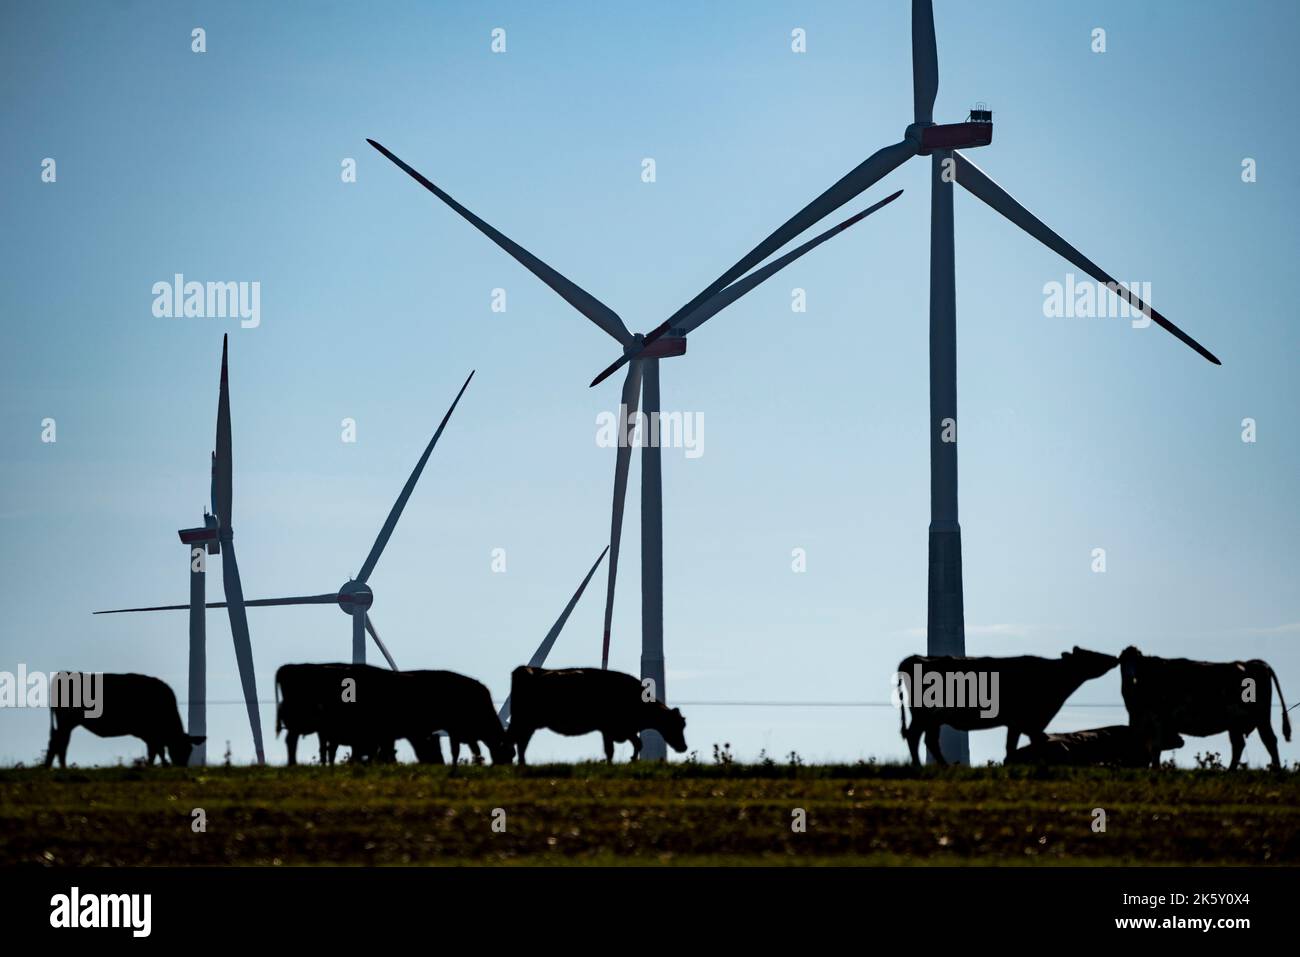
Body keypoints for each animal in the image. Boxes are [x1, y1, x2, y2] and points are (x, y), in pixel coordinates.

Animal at [44, 670, 202, 769]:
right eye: (180, 748)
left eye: (190, 750)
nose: (182, 766)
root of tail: (64, 673)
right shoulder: (151, 734)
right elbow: (157, 750)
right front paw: (159, 766)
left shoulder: (151, 735)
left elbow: (155, 751)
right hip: (67, 721)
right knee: (59, 742)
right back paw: (58, 767)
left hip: (66, 723)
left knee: (58, 742)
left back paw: (52, 766)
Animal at [506, 665, 691, 764]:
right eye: (675, 725)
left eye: (683, 725)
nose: (684, 747)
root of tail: (525, 669)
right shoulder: (611, 728)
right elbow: (612, 750)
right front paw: (616, 763)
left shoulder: (624, 730)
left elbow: (637, 744)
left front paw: (631, 759)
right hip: (523, 720)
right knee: (516, 740)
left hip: (528, 723)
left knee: (521, 742)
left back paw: (521, 763)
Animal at [894, 647, 1118, 764]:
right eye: (1090, 654)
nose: (1115, 657)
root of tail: (914, 658)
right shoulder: (1027, 721)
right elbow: (1036, 742)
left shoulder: (1018, 724)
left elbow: (1014, 746)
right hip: (925, 714)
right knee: (916, 737)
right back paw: (922, 766)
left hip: (932, 718)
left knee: (928, 740)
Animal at [1118, 642, 1289, 769]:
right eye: (1121, 663)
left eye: (1138, 663)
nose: (1131, 678)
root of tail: (1251, 663)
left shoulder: (1157, 719)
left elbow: (1155, 748)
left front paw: (1155, 769)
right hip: (1236, 723)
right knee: (1240, 745)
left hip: (1260, 717)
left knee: (1269, 740)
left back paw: (1276, 770)